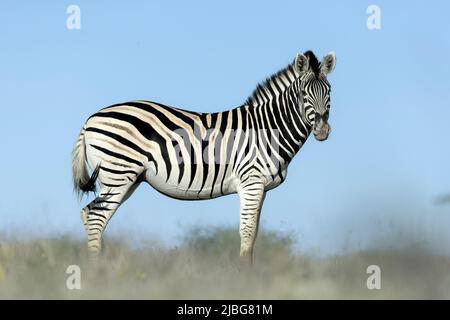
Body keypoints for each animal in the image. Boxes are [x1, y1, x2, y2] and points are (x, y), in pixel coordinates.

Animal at [72, 50, 336, 264]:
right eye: (303, 94)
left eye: (329, 92)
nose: (322, 130)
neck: (269, 129)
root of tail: (90, 119)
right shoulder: (251, 182)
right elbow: (248, 232)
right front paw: (245, 278)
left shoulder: (261, 188)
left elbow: (254, 234)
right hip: (119, 173)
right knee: (96, 217)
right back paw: (98, 271)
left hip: (126, 179)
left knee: (89, 213)